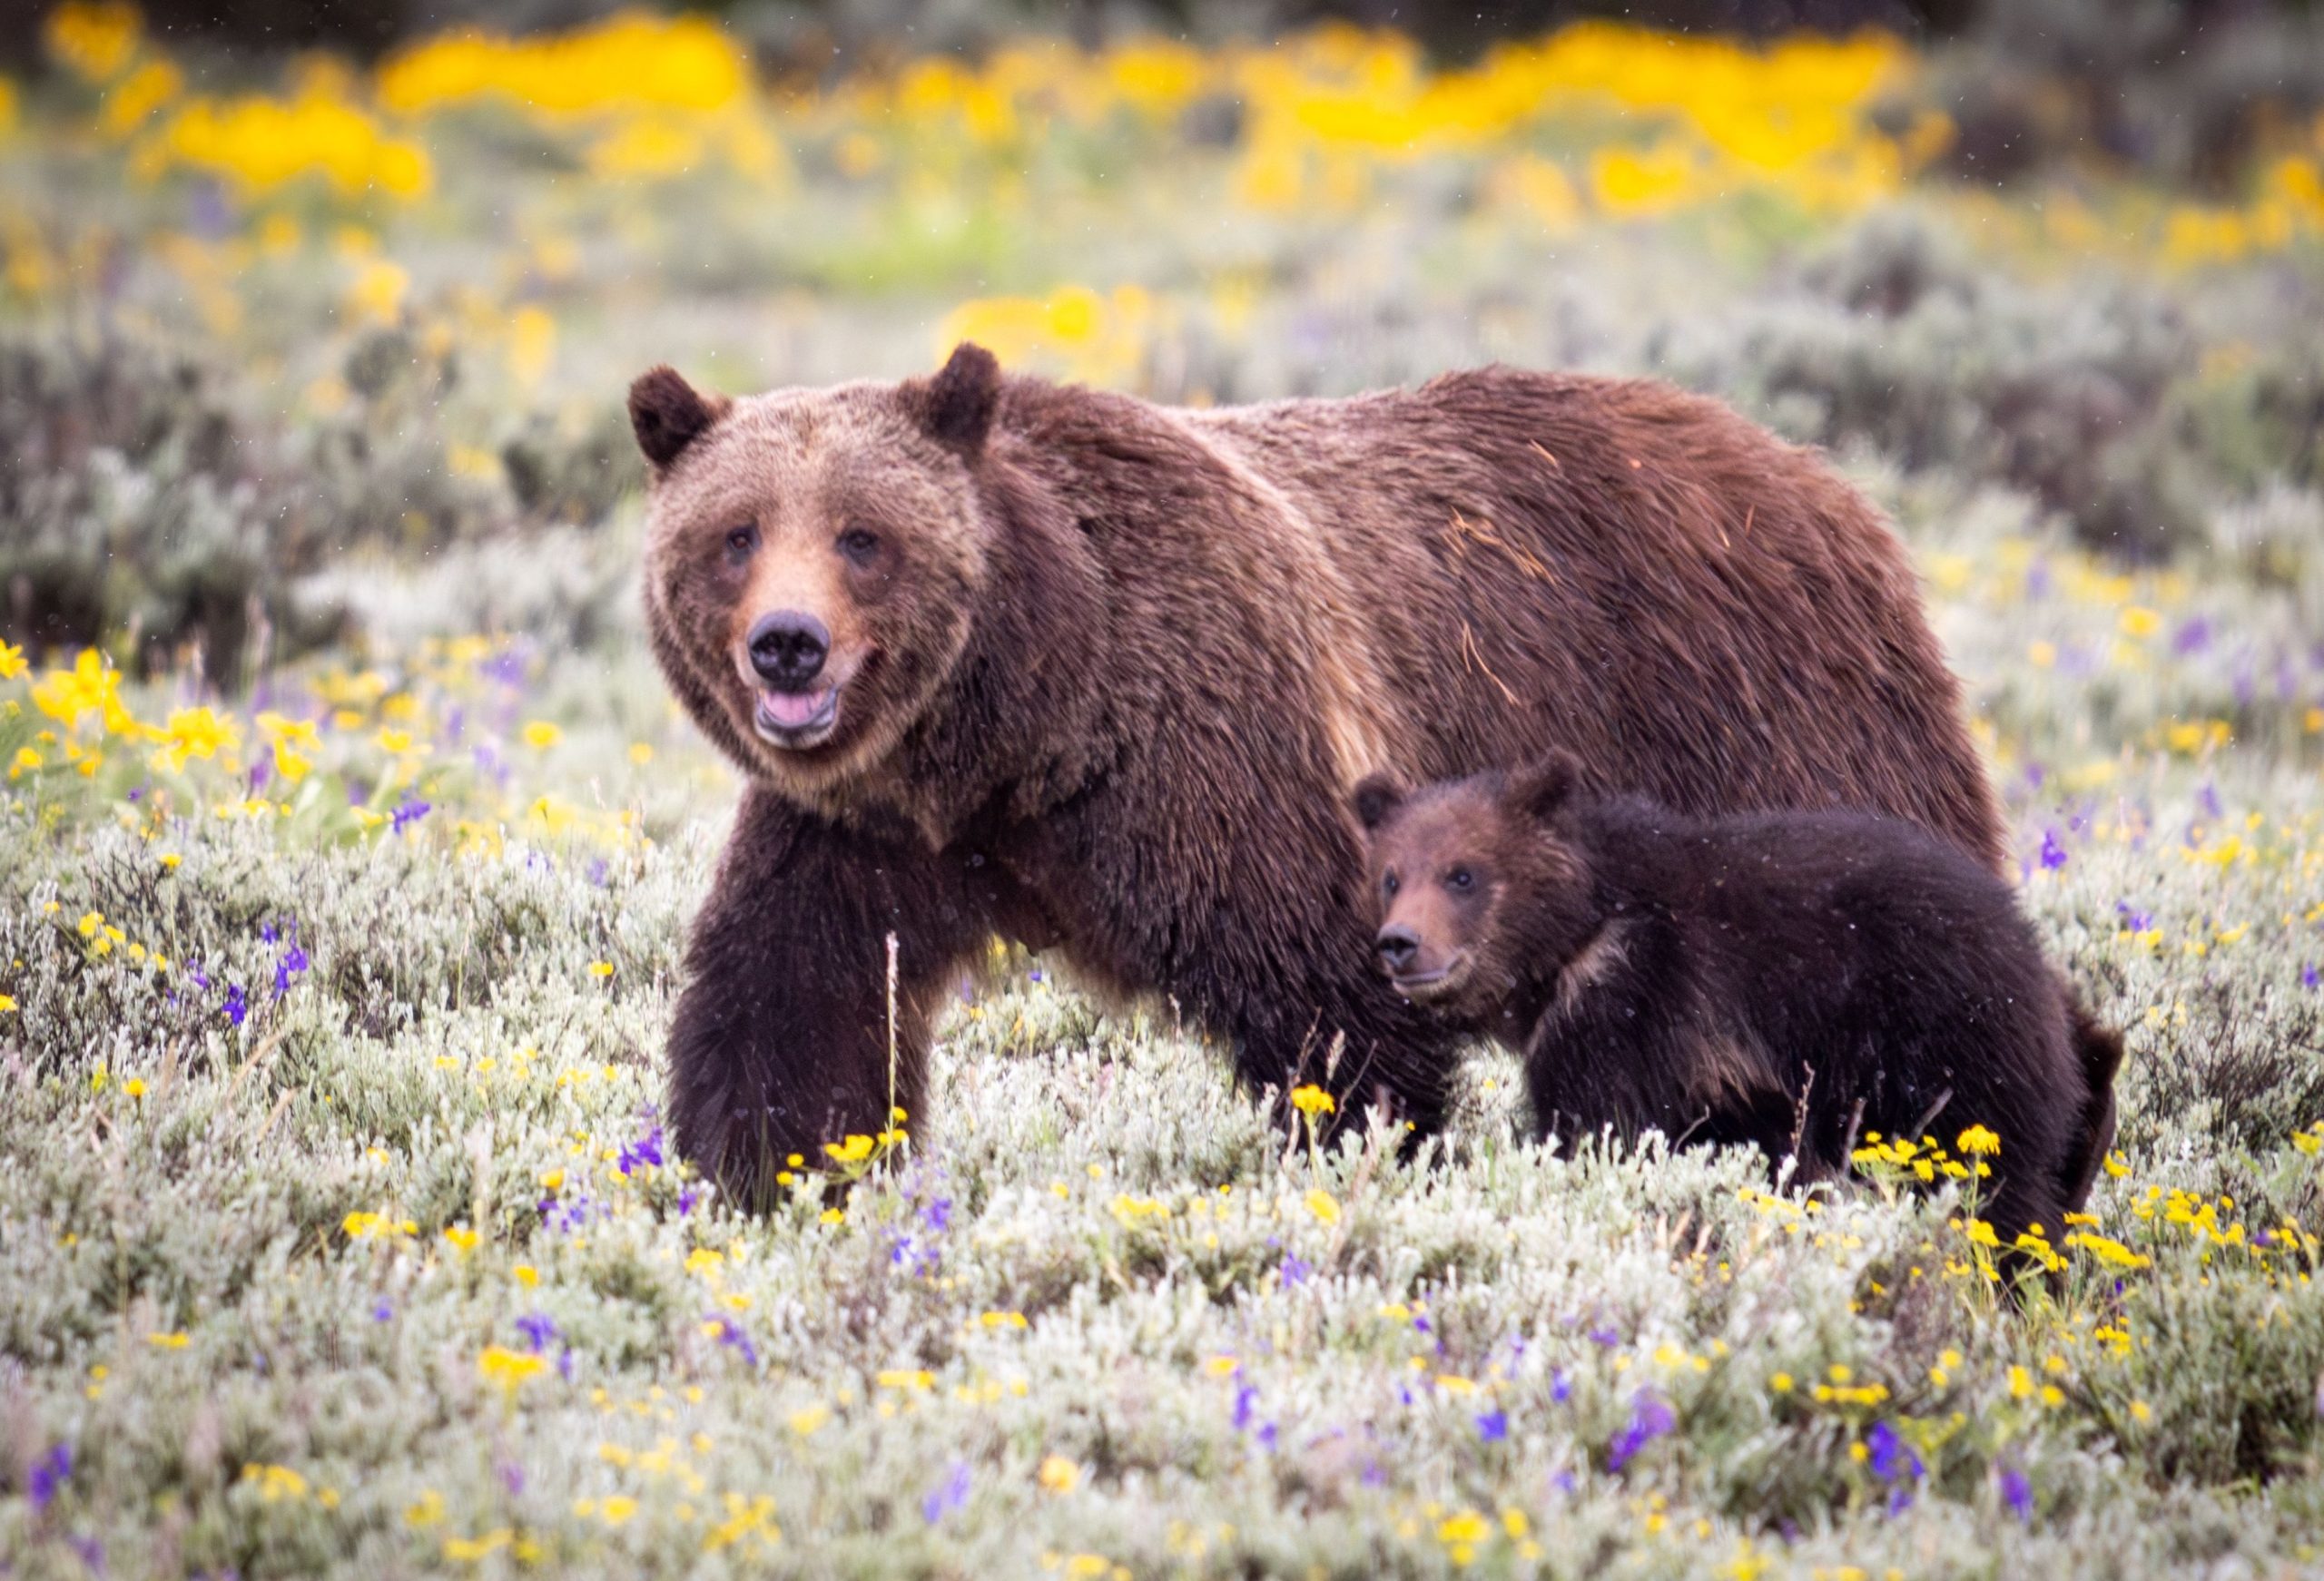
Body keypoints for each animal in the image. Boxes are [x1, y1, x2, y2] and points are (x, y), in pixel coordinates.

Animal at [629, 342, 2007, 1207]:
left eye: (863, 536)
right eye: (735, 533)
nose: (787, 643)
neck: (1022, 727)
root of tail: (1826, 477)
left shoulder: (1227, 761)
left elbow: (1335, 1012)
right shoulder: (863, 831)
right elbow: (792, 1011)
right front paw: (769, 1175)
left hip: (1776, 737)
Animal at [1349, 755, 2123, 1243]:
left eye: (1463, 874)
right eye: (1392, 875)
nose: (1401, 944)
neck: (1578, 933)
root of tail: (2030, 949)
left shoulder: (1638, 1004)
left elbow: (1600, 1128)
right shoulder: (1730, 1083)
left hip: (1951, 1042)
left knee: (1999, 1183)